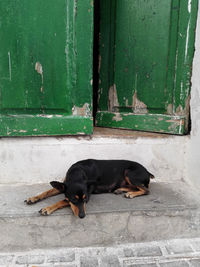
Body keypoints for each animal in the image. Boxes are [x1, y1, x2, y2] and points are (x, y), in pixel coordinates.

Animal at [24, 159, 153, 220]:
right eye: (74, 200)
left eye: (86, 200)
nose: (82, 216)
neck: (77, 173)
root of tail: (147, 172)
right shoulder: (63, 186)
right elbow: (47, 192)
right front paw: (33, 198)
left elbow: (62, 201)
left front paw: (47, 208)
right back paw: (120, 190)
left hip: (129, 173)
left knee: (146, 190)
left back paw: (131, 194)